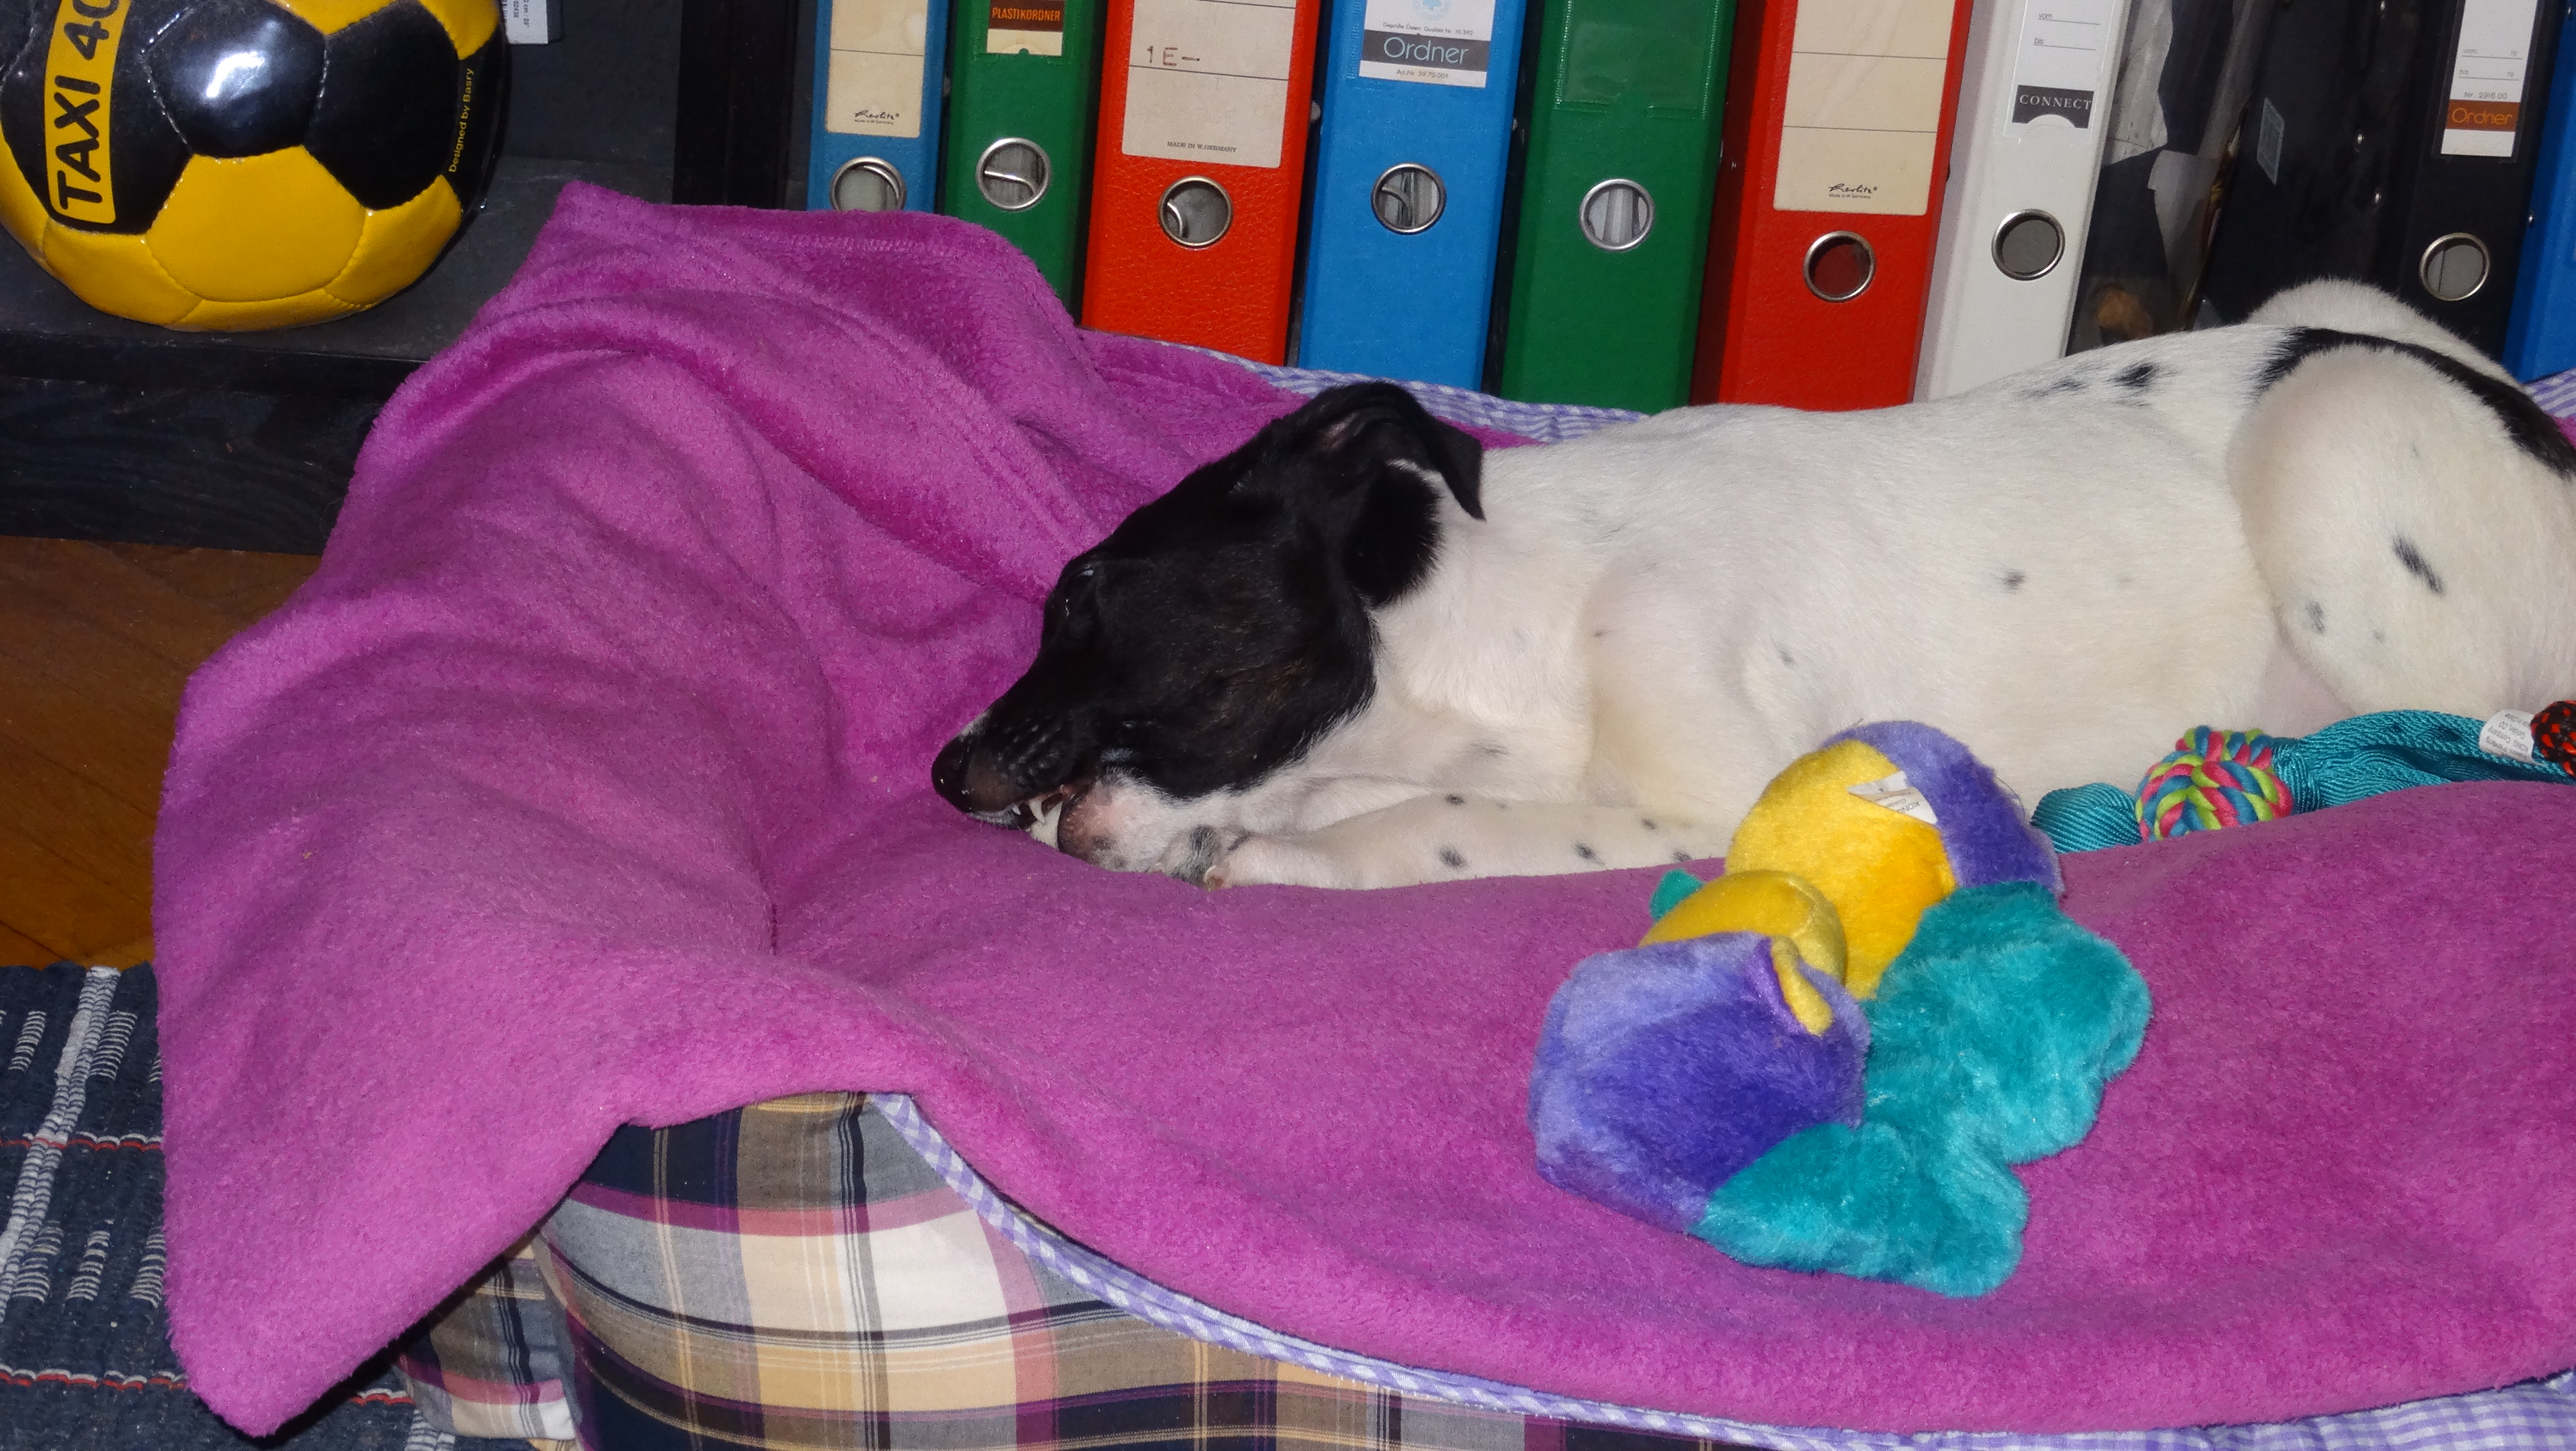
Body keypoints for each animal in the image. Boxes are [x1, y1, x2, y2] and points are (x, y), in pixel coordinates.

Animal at [932, 281, 2576, 889]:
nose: (948, 771)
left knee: (2445, 741)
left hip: (2337, 430)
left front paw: (1290, 857)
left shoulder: (1713, 804)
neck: (1511, 629)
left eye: (1081, 592)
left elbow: (1428, 825)